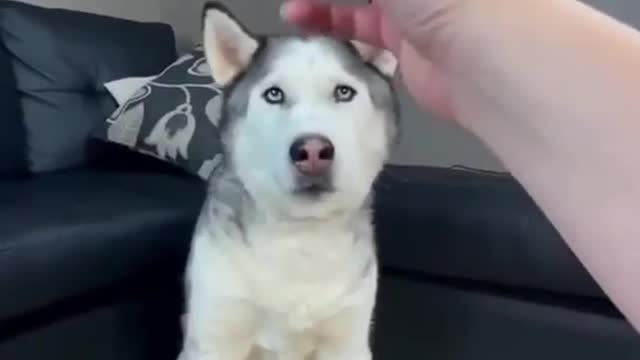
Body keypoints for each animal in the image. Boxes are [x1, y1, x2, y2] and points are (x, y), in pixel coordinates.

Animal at [180, 2, 398, 360]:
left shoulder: (348, 341)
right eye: (274, 94)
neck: (300, 237)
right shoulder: (215, 336)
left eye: (343, 92)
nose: (312, 151)